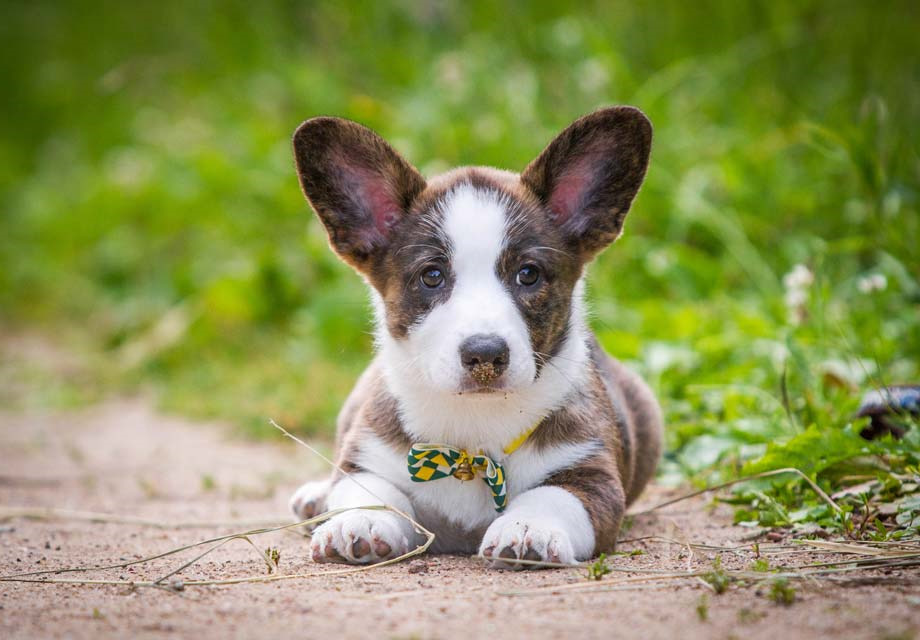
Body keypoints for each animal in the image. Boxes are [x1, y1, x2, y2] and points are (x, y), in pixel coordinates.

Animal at [288, 106, 660, 568]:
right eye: (432, 276)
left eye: (528, 274)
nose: (485, 354)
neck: (472, 433)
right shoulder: (368, 458)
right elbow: (369, 491)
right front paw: (359, 522)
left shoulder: (595, 476)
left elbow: (553, 496)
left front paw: (528, 528)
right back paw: (315, 498)